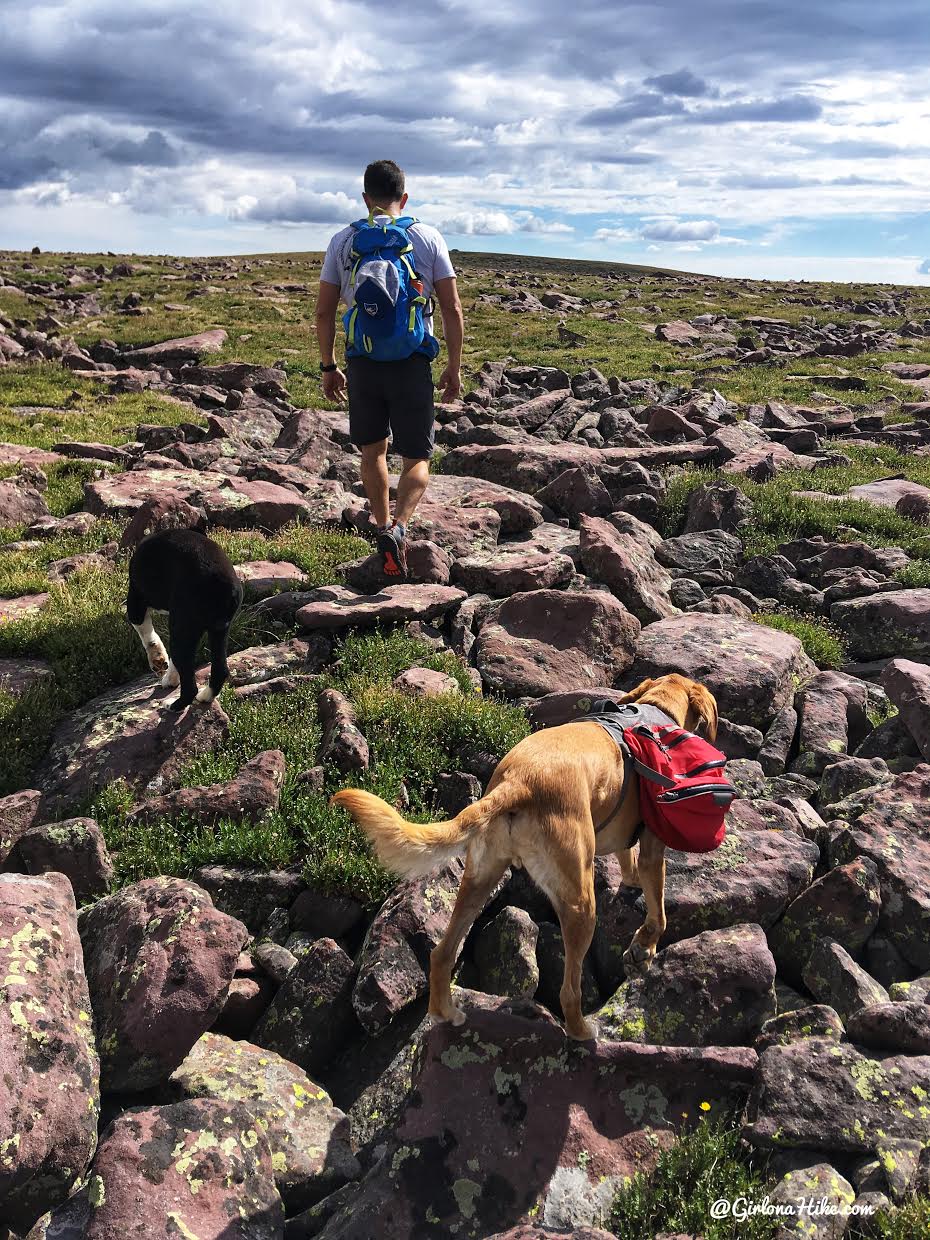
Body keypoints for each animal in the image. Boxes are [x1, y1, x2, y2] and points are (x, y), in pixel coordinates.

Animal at [127, 528, 244, 714]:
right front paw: (170, 677)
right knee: (220, 670)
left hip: (183, 627)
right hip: (217, 629)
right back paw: (205, 697)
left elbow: (146, 633)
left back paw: (173, 705)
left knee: (189, 685)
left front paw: (157, 658)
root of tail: (221, 582)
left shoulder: (135, 600)